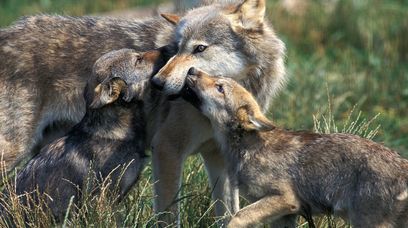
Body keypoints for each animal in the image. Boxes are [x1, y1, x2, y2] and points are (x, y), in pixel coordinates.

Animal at [183, 68, 408, 228]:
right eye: (217, 79)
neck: (245, 148)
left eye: (219, 87)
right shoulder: (285, 216)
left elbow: (236, 217)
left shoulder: (285, 199)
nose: (191, 69)